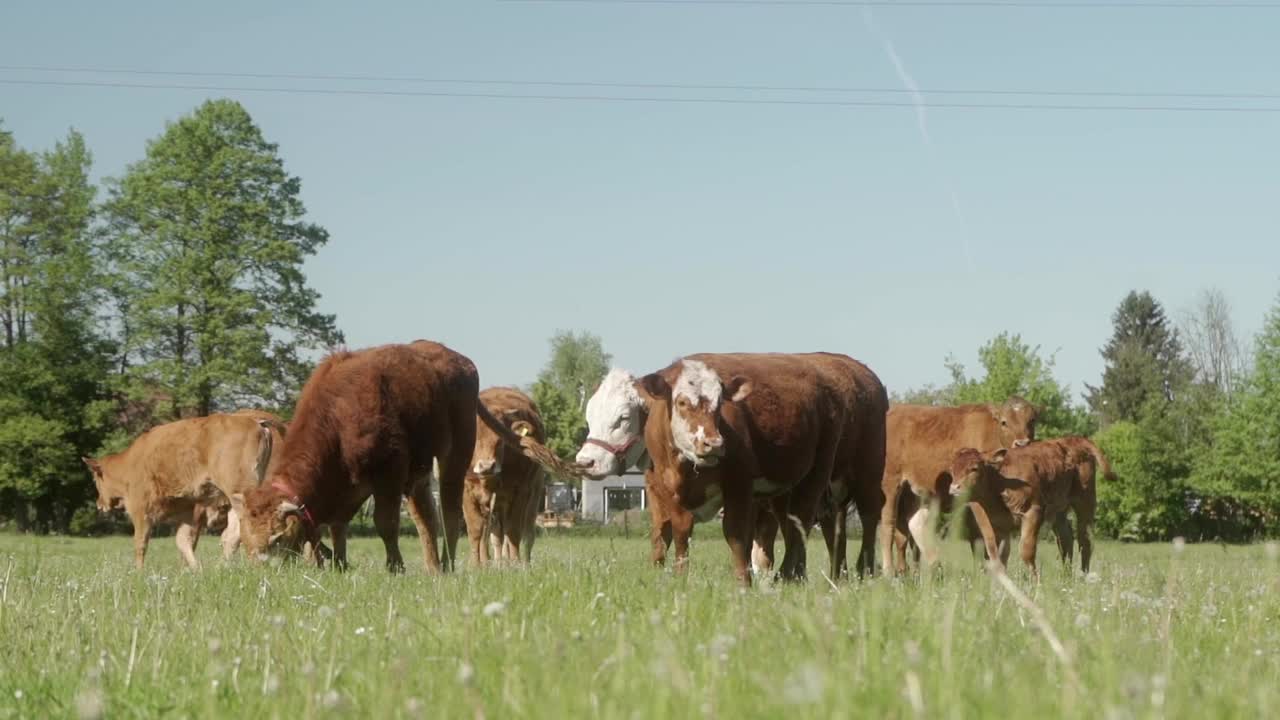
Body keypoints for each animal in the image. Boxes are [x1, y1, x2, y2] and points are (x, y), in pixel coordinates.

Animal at [83, 412, 282, 568]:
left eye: (95, 479)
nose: (99, 504)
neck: (130, 462)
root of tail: (256, 422)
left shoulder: (140, 510)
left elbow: (141, 543)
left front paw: (139, 572)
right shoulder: (187, 510)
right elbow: (183, 540)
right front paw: (195, 569)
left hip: (239, 493)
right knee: (233, 533)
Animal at [227, 340, 578, 571]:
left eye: (276, 539)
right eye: (246, 538)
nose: (262, 572)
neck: (338, 414)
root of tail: (456, 359)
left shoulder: (389, 474)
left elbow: (386, 523)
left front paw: (394, 567)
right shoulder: (350, 485)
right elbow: (339, 525)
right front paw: (339, 563)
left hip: (455, 459)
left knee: (450, 513)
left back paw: (450, 564)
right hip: (420, 474)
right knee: (426, 520)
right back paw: (434, 567)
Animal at [634, 351, 885, 584]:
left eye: (720, 404)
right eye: (682, 402)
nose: (714, 443)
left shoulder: (740, 484)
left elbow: (736, 534)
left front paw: (743, 582)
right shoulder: (667, 488)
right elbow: (680, 532)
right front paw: (681, 577)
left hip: (845, 470)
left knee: (855, 514)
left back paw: (859, 570)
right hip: (792, 490)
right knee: (806, 525)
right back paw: (808, 575)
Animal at [880, 397, 1039, 571]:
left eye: (1032, 420)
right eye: (1004, 422)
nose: (1022, 443)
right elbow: (988, 536)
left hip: (915, 493)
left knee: (914, 525)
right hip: (890, 484)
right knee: (888, 524)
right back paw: (889, 570)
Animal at [952, 440, 1080, 573]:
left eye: (974, 468)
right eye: (952, 469)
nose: (954, 488)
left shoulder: (1033, 512)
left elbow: (1026, 552)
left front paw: (1035, 578)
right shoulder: (999, 524)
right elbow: (1000, 555)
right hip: (1059, 511)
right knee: (1066, 536)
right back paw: (1067, 572)